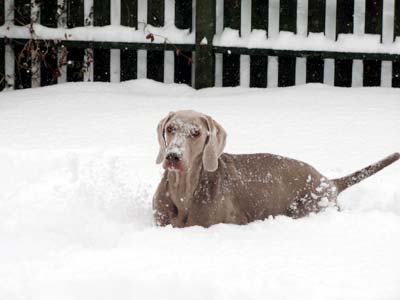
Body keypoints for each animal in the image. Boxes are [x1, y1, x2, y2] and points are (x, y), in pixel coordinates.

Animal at [152, 110, 396, 227]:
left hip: (308, 207)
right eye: (171, 128)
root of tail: (328, 181)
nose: (173, 156)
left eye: (196, 132)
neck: (184, 189)